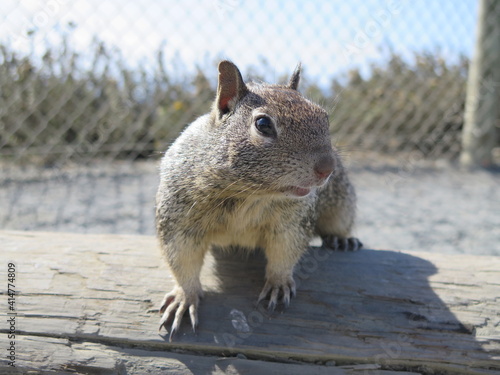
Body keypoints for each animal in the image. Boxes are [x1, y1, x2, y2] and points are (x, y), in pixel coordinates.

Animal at [155, 61, 360, 340]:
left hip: (340, 203)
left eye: (324, 117)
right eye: (263, 124)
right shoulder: (179, 219)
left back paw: (342, 239)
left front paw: (278, 283)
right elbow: (182, 260)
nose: (327, 168)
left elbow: (284, 253)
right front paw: (185, 298)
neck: (252, 193)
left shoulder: (292, 224)